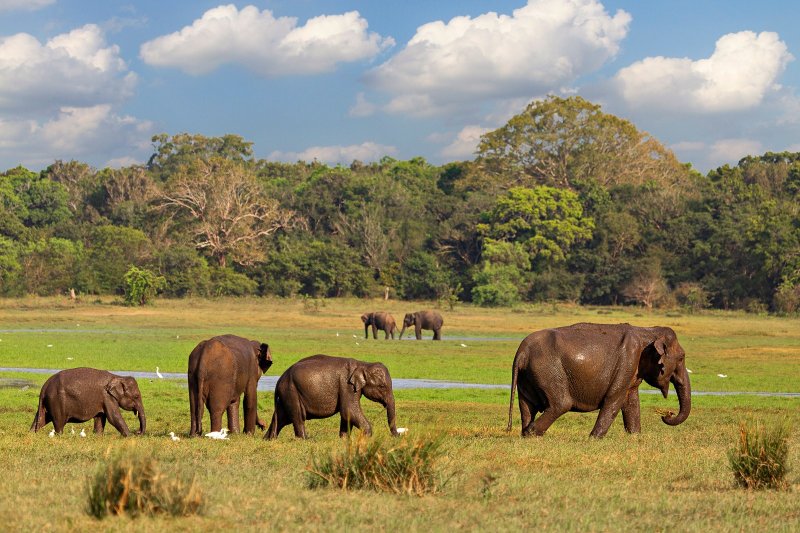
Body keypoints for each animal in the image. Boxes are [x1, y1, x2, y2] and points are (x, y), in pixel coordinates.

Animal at [265, 354, 399, 439]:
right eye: (382, 386)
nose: (398, 435)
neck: (363, 364)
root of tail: (280, 379)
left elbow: (347, 415)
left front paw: (344, 439)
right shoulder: (347, 386)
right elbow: (349, 410)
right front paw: (367, 437)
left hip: (286, 394)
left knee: (281, 418)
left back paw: (268, 439)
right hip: (291, 391)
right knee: (297, 417)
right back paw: (305, 439)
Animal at [507, 322, 691, 438]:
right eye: (682, 358)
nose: (667, 414)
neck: (648, 331)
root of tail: (521, 353)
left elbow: (630, 401)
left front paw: (635, 436)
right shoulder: (627, 362)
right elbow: (614, 399)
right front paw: (594, 438)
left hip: (527, 376)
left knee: (527, 406)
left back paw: (525, 433)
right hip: (548, 371)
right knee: (561, 404)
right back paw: (532, 433)